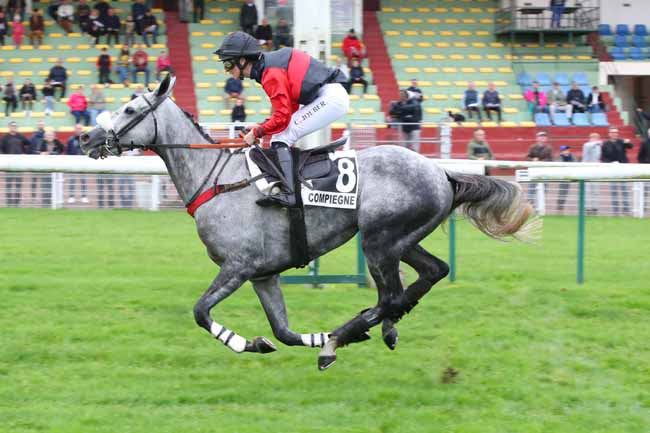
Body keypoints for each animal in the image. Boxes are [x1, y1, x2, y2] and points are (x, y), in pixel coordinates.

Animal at [79, 76, 536, 370]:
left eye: (130, 109)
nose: (86, 138)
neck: (217, 178)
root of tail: (442, 172)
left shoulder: (239, 266)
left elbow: (200, 311)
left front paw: (255, 341)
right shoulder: (263, 274)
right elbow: (281, 331)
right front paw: (272, 341)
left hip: (378, 241)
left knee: (391, 294)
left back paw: (342, 337)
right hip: (401, 240)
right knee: (430, 274)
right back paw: (375, 329)